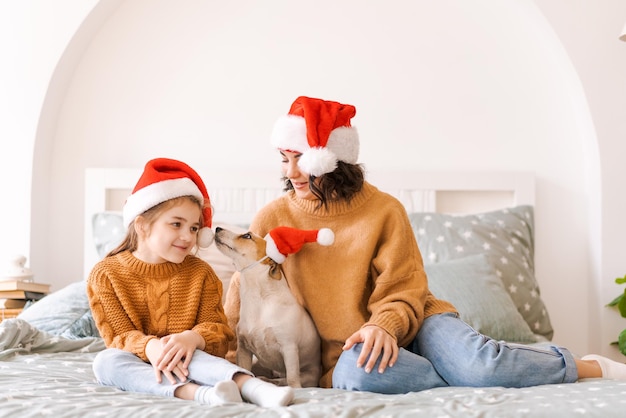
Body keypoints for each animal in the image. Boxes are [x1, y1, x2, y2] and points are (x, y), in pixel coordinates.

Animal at [213, 225, 322, 388]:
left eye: (247, 236)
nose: (217, 228)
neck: (259, 300)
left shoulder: (289, 348)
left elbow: (292, 379)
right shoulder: (243, 349)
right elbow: (245, 370)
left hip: (307, 376)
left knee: (284, 380)